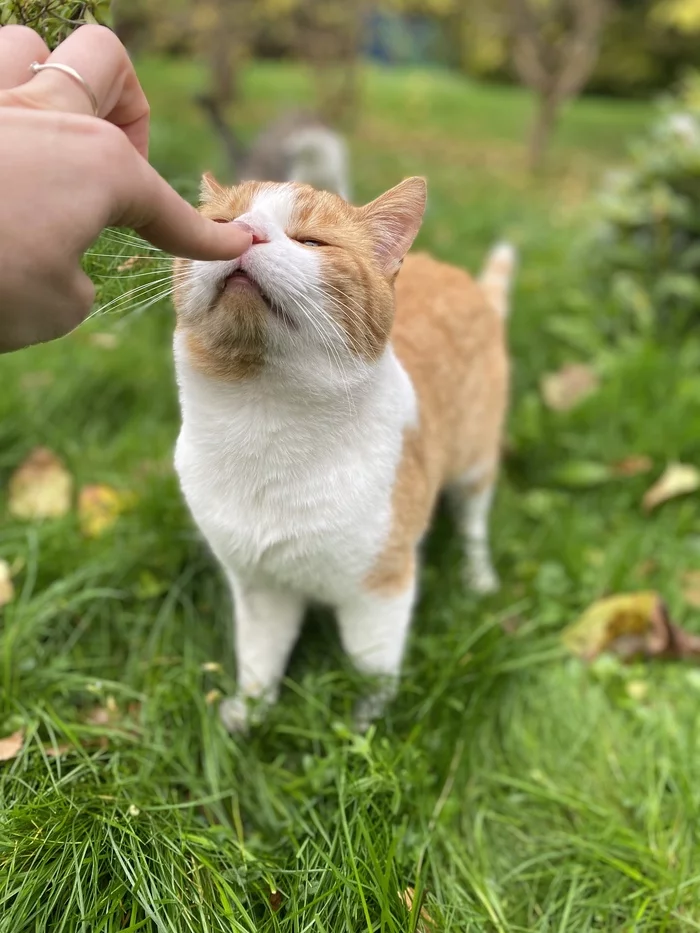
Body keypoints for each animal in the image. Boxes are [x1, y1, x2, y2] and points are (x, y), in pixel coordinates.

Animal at [174, 173, 516, 728]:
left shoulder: (380, 590)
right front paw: (248, 715)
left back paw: (479, 577)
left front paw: (363, 727)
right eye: (221, 223)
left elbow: (371, 669)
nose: (246, 232)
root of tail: (464, 280)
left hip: (474, 466)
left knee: (473, 524)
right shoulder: (259, 587)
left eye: (311, 241)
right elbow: (260, 657)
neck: (263, 421)